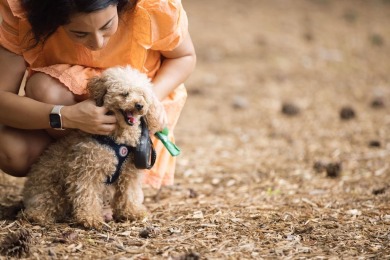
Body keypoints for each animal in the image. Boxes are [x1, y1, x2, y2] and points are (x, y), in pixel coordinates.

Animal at [20, 65, 164, 230]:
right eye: (124, 93)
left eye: (142, 95)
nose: (139, 105)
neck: (118, 138)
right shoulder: (87, 169)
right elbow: (87, 194)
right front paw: (90, 218)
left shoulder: (129, 173)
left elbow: (129, 193)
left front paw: (132, 212)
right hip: (51, 188)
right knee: (42, 204)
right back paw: (37, 216)